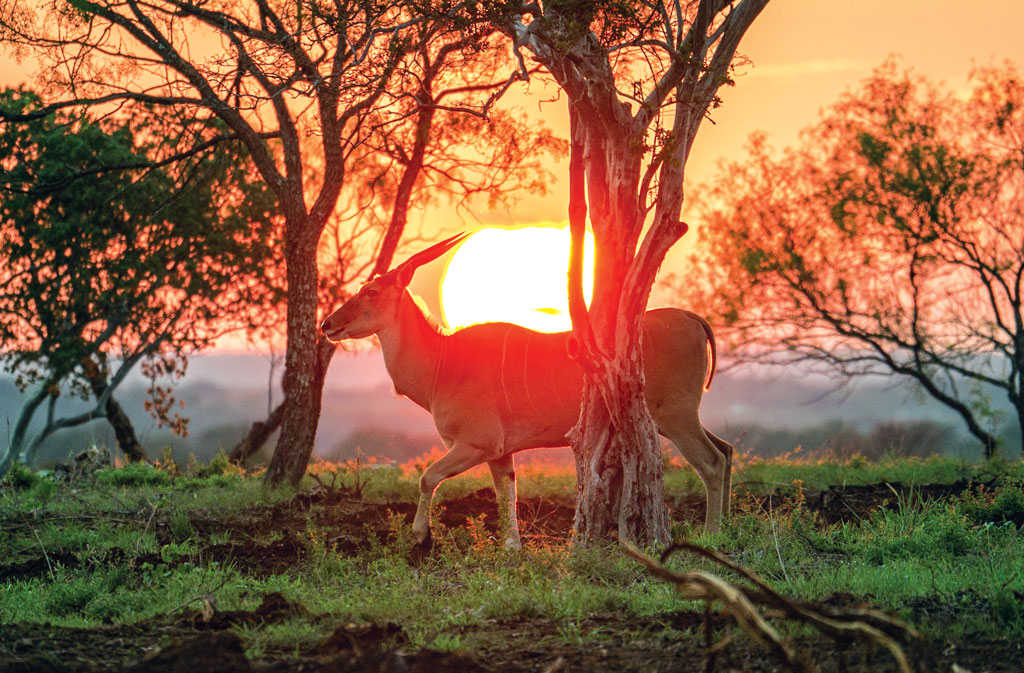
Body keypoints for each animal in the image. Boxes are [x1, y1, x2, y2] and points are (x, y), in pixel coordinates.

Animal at [323, 233, 733, 549]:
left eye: (371, 291)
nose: (328, 324)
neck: (442, 363)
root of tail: (691, 318)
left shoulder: (476, 444)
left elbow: (428, 477)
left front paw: (422, 537)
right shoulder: (500, 453)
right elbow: (507, 494)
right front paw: (512, 548)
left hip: (676, 416)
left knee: (712, 461)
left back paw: (713, 536)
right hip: (677, 417)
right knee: (726, 449)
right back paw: (728, 526)